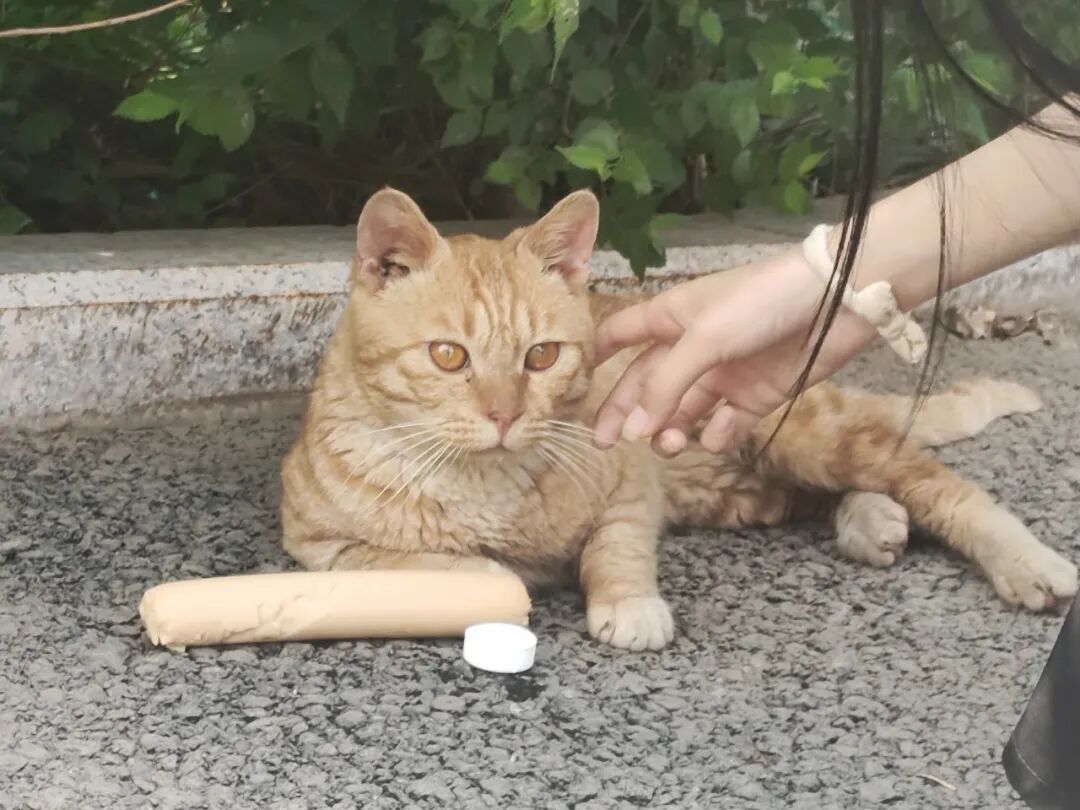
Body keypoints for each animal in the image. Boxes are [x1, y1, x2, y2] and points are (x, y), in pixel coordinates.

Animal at [281, 187, 1078, 651]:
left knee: (935, 481)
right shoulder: (320, 547)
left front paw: (628, 603)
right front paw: (494, 572)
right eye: (449, 356)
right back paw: (872, 520)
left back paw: (1024, 560)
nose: (505, 414)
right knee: (826, 494)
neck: (485, 484)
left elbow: (618, 549)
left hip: (805, 434)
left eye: (541, 356)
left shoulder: (631, 480)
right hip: (745, 487)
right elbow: (439, 563)